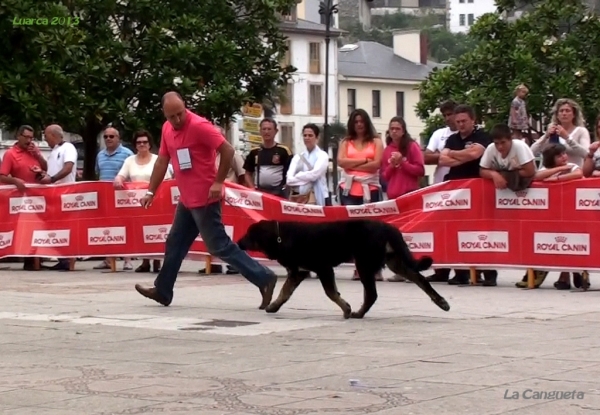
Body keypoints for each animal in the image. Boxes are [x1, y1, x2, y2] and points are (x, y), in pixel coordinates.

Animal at [236, 219, 450, 320]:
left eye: (249, 235)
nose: (238, 243)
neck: (281, 237)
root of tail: (389, 228)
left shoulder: (323, 268)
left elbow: (330, 292)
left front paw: (346, 308)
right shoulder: (298, 272)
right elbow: (285, 292)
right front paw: (273, 306)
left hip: (364, 263)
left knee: (371, 294)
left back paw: (358, 313)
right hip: (394, 261)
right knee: (420, 279)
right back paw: (441, 301)